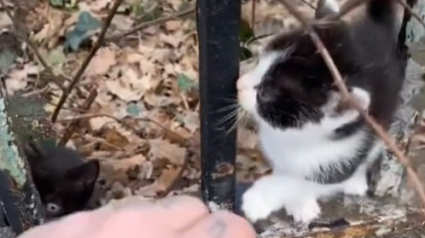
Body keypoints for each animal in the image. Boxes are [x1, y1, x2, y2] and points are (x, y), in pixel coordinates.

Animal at [238, 0, 408, 223]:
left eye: (265, 93)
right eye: (258, 63)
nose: (238, 84)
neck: (293, 139)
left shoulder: (342, 155)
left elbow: (302, 182)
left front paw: (260, 199)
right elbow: (284, 169)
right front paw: (299, 202)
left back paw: (356, 181)